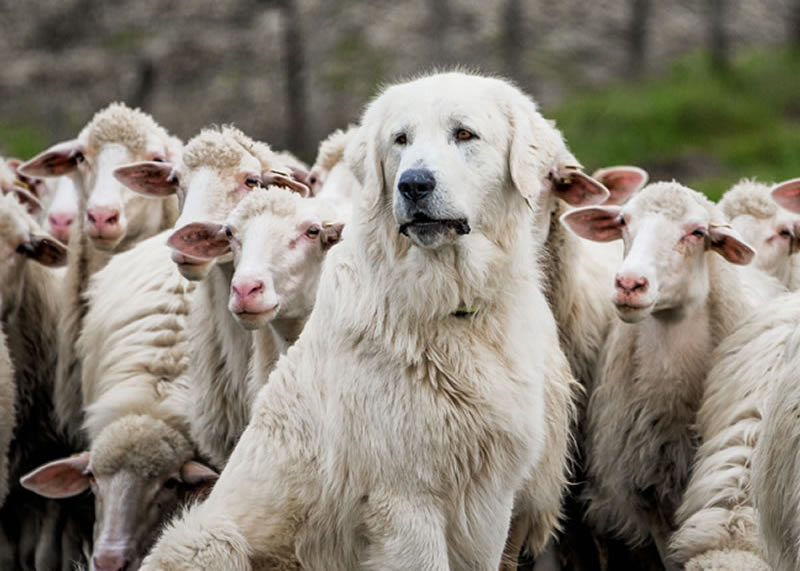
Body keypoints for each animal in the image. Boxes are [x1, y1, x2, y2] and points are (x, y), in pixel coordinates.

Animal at [139, 71, 592, 571]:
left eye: (464, 134)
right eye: (400, 139)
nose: (413, 184)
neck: (449, 306)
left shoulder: (492, 502)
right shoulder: (404, 501)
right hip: (211, 538)